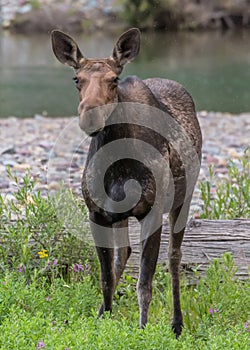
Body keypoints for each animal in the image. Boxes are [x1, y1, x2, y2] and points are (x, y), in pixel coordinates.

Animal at [50, 28, 201, 338]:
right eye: (76, 79)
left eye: (114, 79)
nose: (90, 116)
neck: (118, 168)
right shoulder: (96, 213)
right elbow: (106, 277)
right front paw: (103, 321)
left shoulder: (152, 213)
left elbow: (144, 282)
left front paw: (142, 329)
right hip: (119, 215)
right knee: (124, 254)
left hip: (184, 199)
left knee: (174, 257)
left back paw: (177, 323)